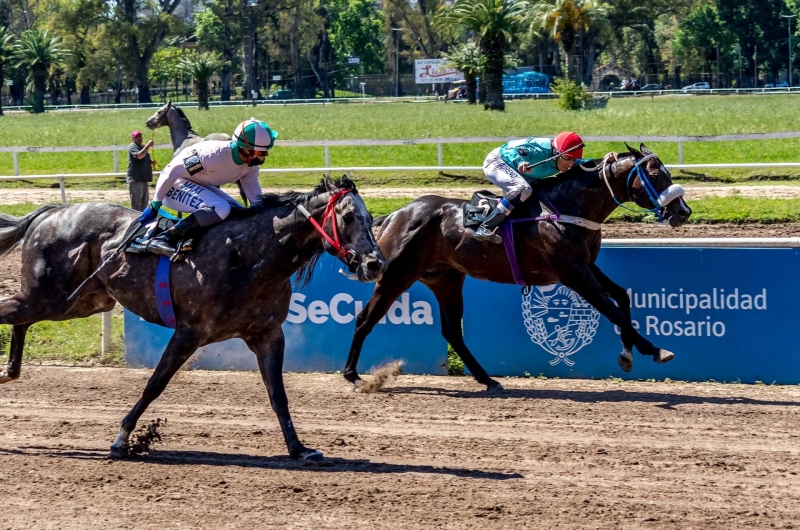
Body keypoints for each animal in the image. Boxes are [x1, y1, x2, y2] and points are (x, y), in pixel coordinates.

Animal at [0, 175, 388, 460]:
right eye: (349, 217)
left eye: (371, 219)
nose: (376, 264)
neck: (249, 256)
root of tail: (50, 213)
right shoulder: (189, 332)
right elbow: (154, 384)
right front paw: (123, 439)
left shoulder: (266, 334)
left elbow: (278, 394)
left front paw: (299, 449)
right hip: (49, 297)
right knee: (13, 313)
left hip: (77, 302)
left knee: (20, 320)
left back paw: (10, 372)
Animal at [346, 144, 692, 392]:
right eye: (655, 175)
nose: (683, 211)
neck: (567, 208)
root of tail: (393, 216)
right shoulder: (572, 273)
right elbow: (613, 311)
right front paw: (654, 349)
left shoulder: (585, 266)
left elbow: (622, 297)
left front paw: (627, 354)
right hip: (395, 275)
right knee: (364, 319)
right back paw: (353, 375)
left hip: (446, 279)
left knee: (452, 331)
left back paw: (488, 380)